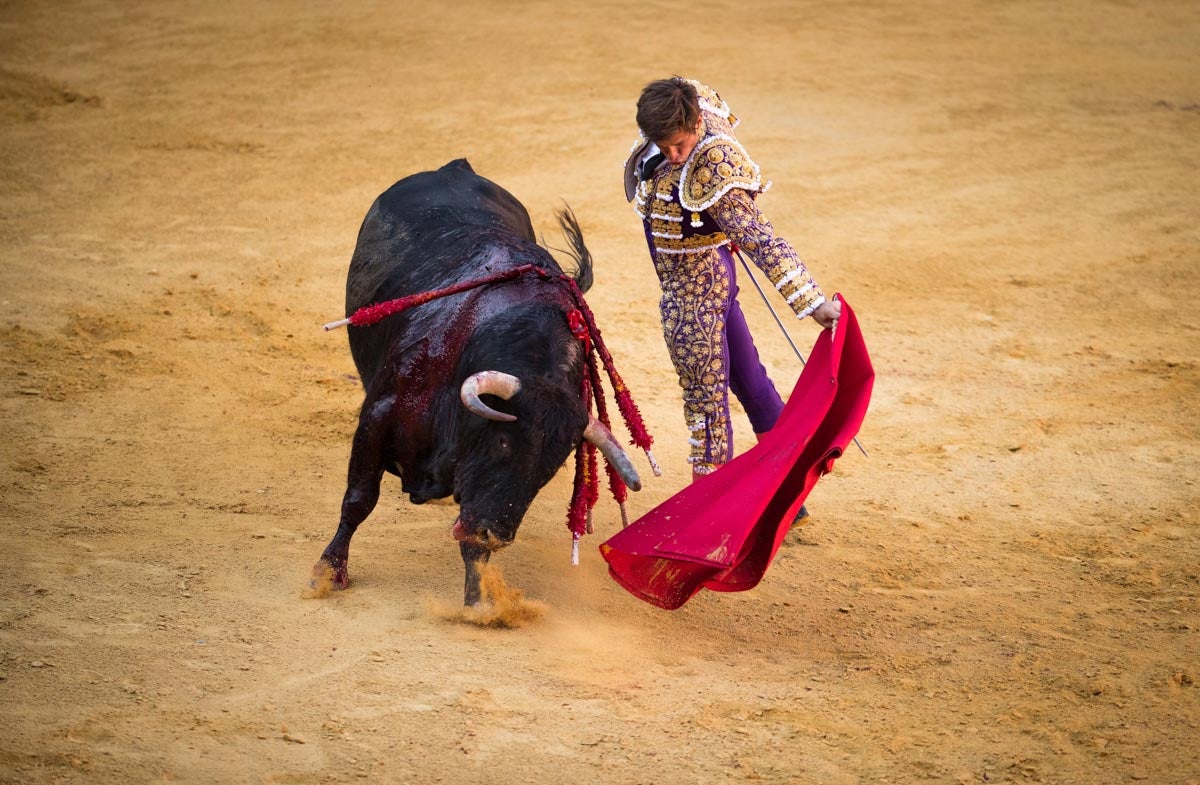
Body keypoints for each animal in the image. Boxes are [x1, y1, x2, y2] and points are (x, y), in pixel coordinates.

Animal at [314, 157, 643, 604]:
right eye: (502, 440)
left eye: (551, 466)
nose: (496, 535)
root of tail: (456, 168)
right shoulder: (379, 413)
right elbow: (359, 498)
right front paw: (328, 572)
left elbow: (471, 542)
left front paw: (479, 603)